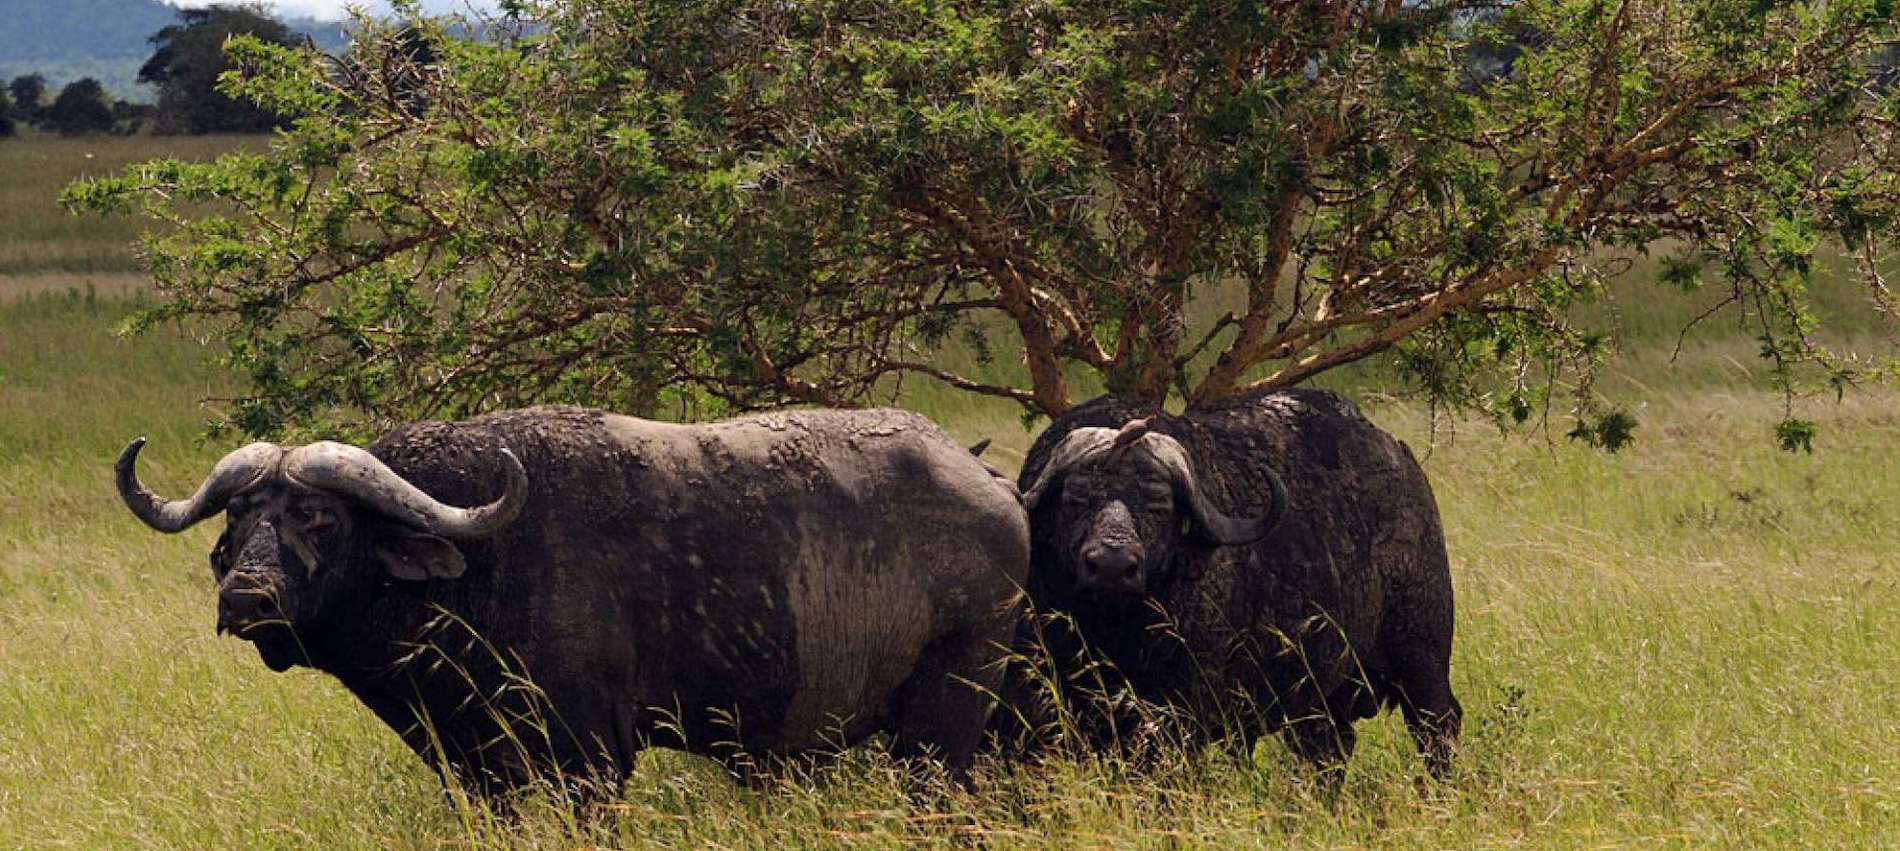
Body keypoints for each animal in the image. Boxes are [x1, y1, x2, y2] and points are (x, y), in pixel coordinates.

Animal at [111, 406, 1033, 790]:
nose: (246, 597)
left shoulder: (587, 758)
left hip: (942, 724)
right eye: (237, 521)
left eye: (320, 519)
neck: (483, 569)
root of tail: (992, 482)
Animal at [1003, 389, 1459, 775]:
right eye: (1074, 500)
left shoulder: (1181, 708)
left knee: (1438, 725)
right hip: (1321, 700)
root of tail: (1404, 465)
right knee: (1329, 750)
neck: (1113, 633)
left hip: (1421, 655)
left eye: (1159, 504)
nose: (1113, 566)